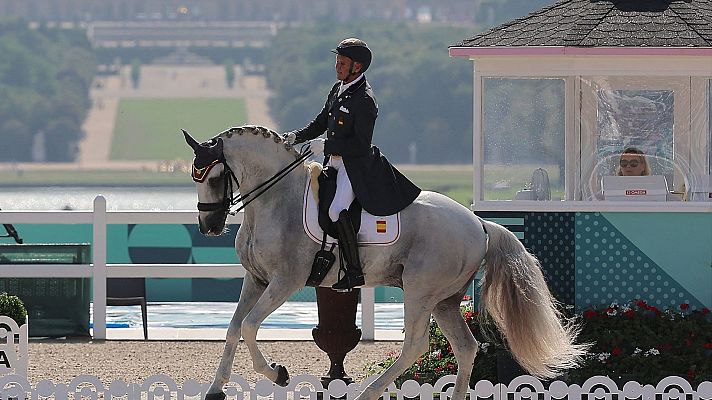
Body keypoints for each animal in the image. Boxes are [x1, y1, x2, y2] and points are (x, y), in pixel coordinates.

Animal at [182, 125, 584, 400]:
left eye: (214, 177)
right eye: (194, 176)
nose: (209, 226)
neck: (276, 199)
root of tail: (479, 224)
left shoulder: (285, 282)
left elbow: (250, 326)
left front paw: (278, 374)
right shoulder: (257, 280)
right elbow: (234, 328)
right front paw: (216, 389)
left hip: (421, 291)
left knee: (416, 346)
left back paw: (367, 393)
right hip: (445, 300)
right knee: (465, 347)